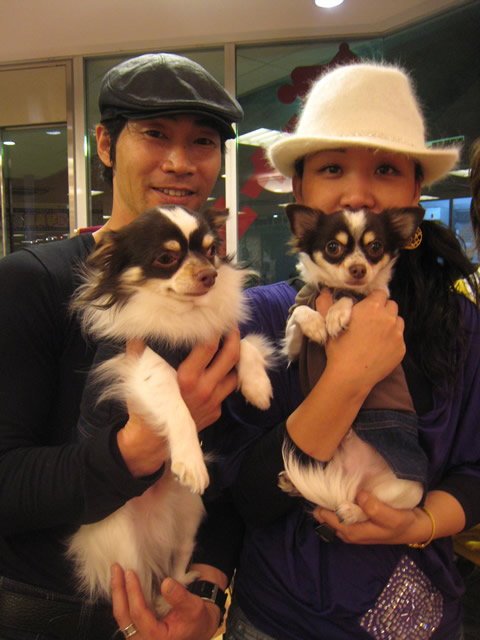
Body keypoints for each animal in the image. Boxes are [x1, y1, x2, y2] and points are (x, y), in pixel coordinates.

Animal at [67, 204, 273, 615]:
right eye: (166, 258)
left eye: (210, 251)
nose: (209, 275)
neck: (184, 314)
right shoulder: (143, 364)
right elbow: (177, 405)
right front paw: (190, 460)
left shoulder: (215, 337)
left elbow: (241, 345)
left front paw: (258, 386)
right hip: (125, 546)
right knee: (141, 588)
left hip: (190, 513)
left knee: (175, 564)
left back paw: (178, 587)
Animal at [279, 204, 426, 524]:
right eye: (333, 247)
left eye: (376, 247)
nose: (358, 269)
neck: (332, 289)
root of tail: (355, 478)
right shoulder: (295, 346)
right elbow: (299, 315)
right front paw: (315, 325)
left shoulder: (365, 297)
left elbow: (349, 298)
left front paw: (336, 314)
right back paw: (294, 484)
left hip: (404, 490)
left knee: (369, 508)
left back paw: (350, 510)